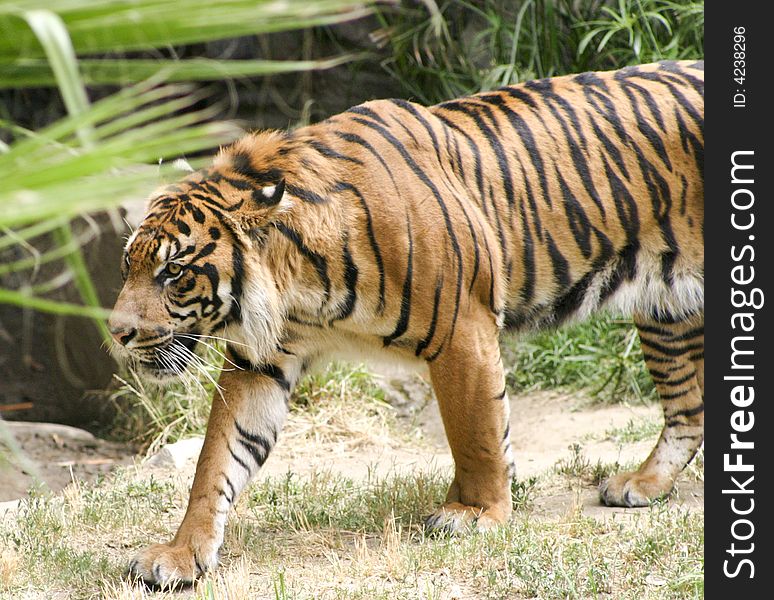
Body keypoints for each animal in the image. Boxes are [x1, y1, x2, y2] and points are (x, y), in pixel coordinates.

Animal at [110, 59, 708, 584]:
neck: (298, 285)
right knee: (688, 408)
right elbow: (218, 460)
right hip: (668, 309)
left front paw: (475, 513)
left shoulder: (464, 331)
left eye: (173, 271)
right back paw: (645, 484)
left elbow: (476, 434)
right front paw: (181, 554)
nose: (116, 332)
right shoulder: (259, 362)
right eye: (128, 265)